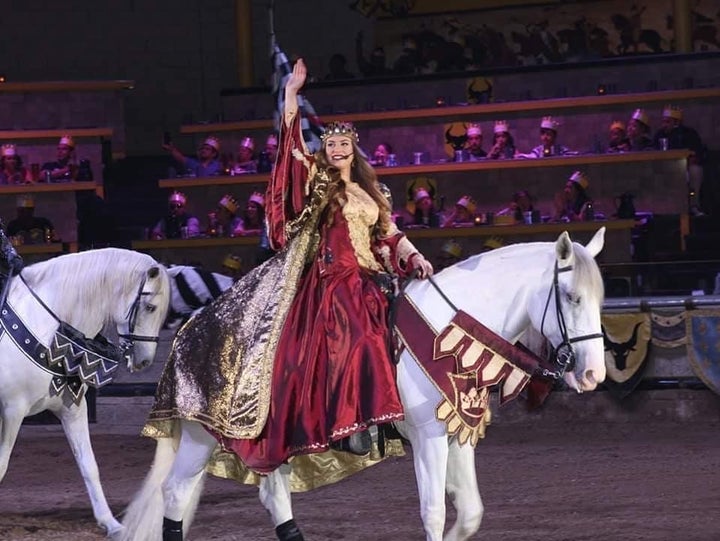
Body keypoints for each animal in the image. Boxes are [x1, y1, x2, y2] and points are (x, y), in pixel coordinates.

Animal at [0, 248, 170, 536]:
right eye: (150, 307)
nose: (145, 361)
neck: (47, 328)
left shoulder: (73, 410)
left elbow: (89, 465)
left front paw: (111, 524)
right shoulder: (12, 411)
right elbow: (1, 464)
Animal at [122, 228, 608, 540]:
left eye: (600, 299)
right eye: (571, 297)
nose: (592, 375)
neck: (447, 328)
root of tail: (192, 327)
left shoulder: (457, 433)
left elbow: (469, 513)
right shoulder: (429, 437)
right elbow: (434, 513)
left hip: (271, 443)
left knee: (273, 497)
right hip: (201, 435)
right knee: (176, 495)